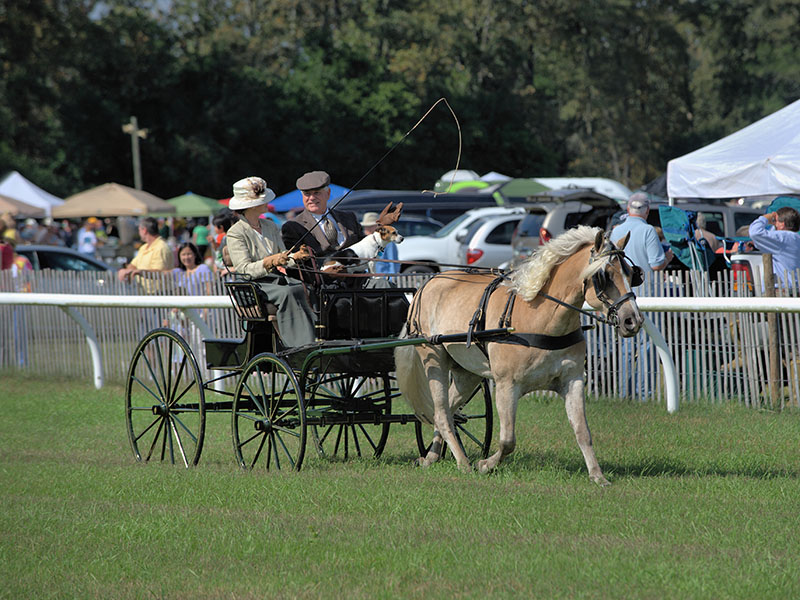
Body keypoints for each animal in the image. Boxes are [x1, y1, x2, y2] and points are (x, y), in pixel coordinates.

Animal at [396, 227, 648, 486]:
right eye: (604, 275)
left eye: (632, 274)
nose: (633, 320)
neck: (542, 318)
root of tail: (428, 284)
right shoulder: (507, 385)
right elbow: (508, 440)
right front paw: (485, 464)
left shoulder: (573, 380)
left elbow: (582, 431)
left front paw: (597, 476)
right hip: (434, 359)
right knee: (441, 413)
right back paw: (463, 463)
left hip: (467, 373)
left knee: (447, 410)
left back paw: (431, 457)